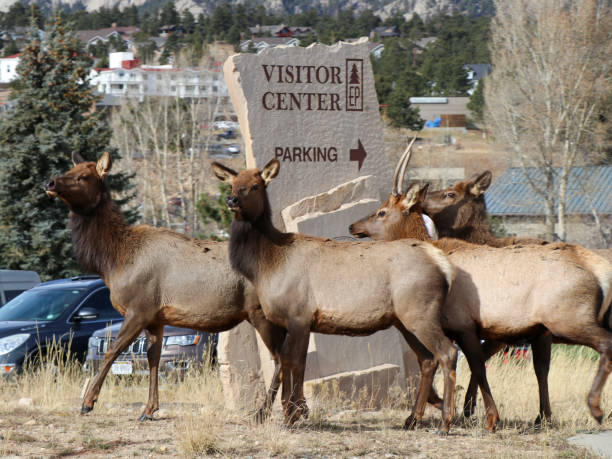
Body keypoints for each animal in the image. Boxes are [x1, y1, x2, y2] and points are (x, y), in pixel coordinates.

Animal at [44, 153, 288, 422]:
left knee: (281, 358)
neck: (112, 262)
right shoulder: (155, 318)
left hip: (261, 312)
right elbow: (153, 359)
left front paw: (88, 402)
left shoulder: (139, 308)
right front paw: (149, 409)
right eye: (70, 169)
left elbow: (113, 351)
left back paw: (264, 412)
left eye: (84, 176)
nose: (50, 182)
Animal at [212, 160, 460, 434]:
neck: (265, 265)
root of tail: (442, 263)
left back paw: (445, 423)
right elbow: (290, 362)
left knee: (447, 352)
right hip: (404, 320)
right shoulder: (293, 321)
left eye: (255, 185)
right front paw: (292, 411)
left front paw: (292, 414)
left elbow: (293, 362)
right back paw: (412, 419)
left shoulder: (299, 315)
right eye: (232, 184)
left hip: (420, 313)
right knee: (427, 358)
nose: (232, 199)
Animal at [350, 148, 612, 432]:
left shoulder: (465, 325)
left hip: (564, 320)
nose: (353, 226)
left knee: (597, 347)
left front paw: (481, 417)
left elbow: (474, 365)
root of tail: (598, 267)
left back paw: (592, 409)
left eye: (381, 212)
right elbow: (454, 364)